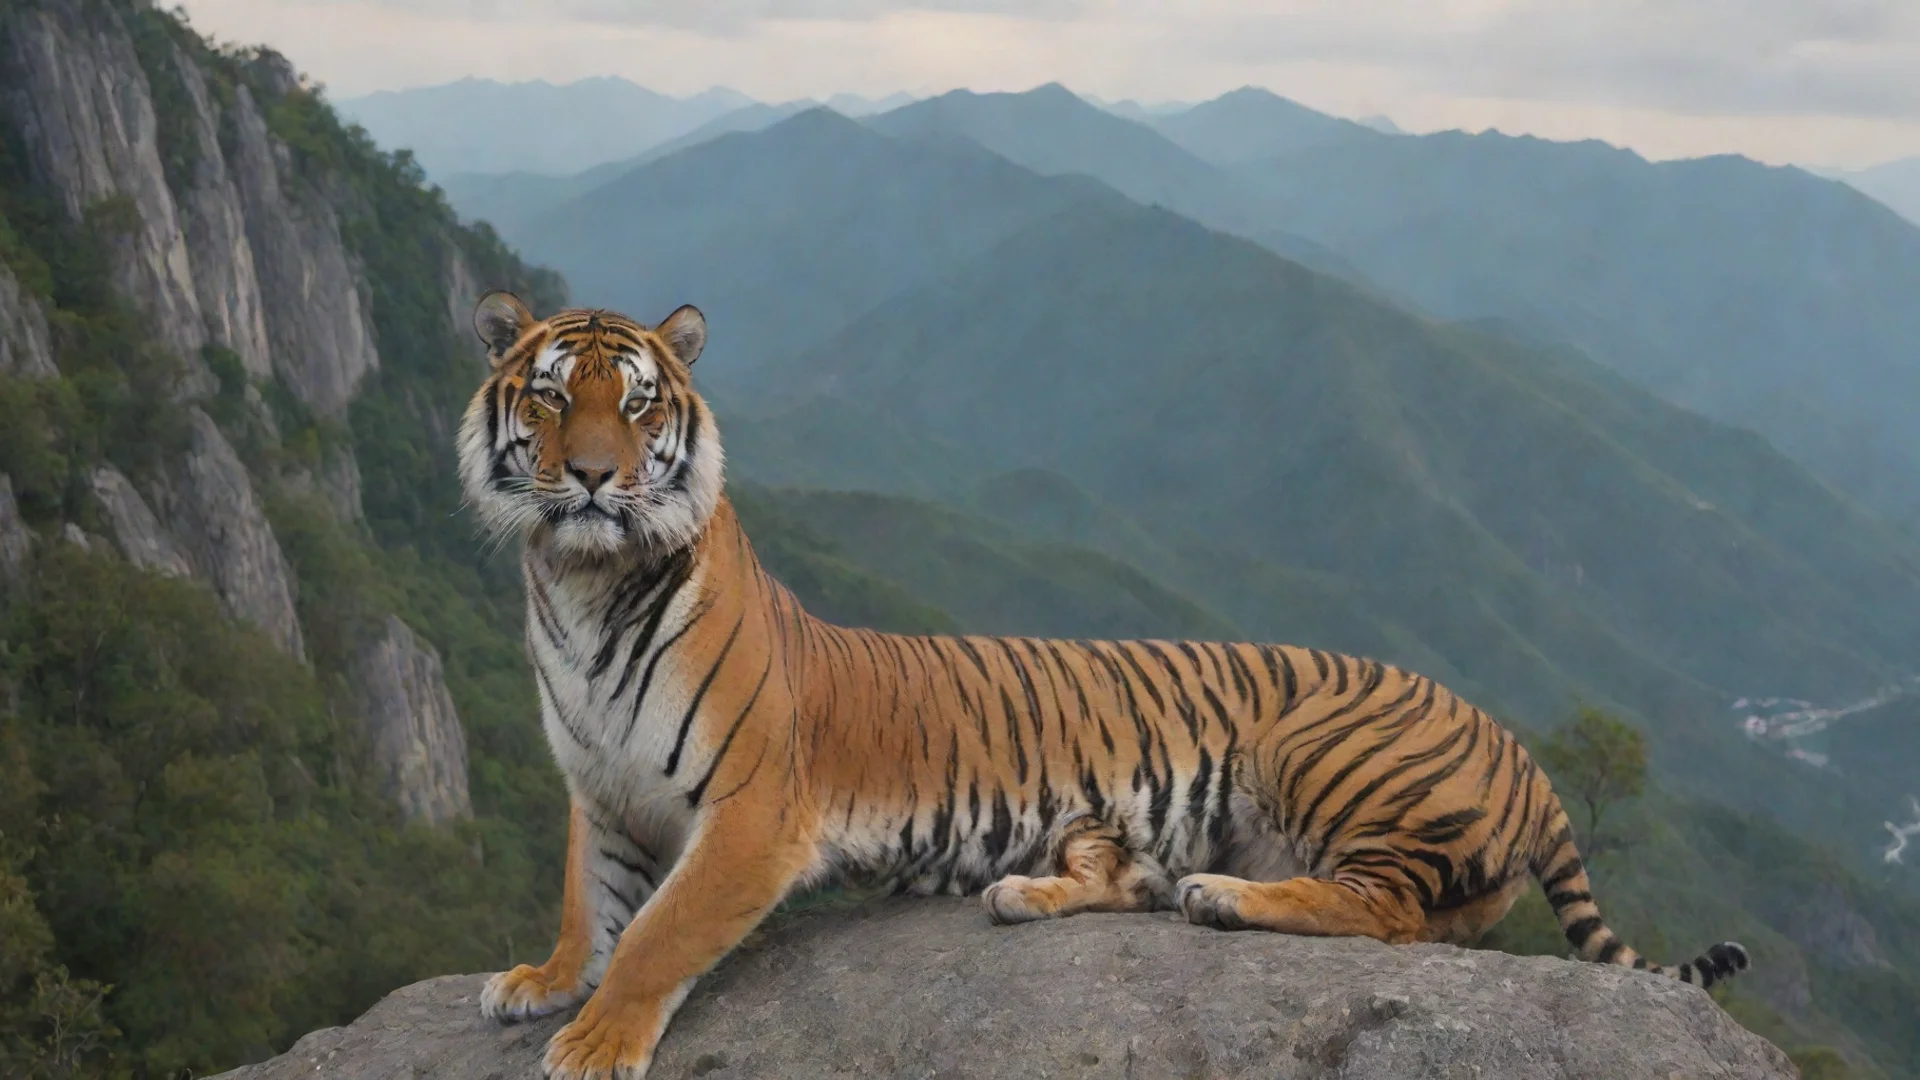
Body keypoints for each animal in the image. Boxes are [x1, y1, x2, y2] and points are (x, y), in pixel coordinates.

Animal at [457, 291, 1750, 1080]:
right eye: (550, 393)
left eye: (636, 402)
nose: (591, 478)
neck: (581, 593)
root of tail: (1524, 748)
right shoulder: (602, 794)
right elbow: (587, 904)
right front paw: (542, 982)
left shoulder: (753, 817)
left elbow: (659, 935)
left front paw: (596, 1039)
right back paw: (1044, 889)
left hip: (1321, 754)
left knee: (1384, 916)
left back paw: (1220, 900)